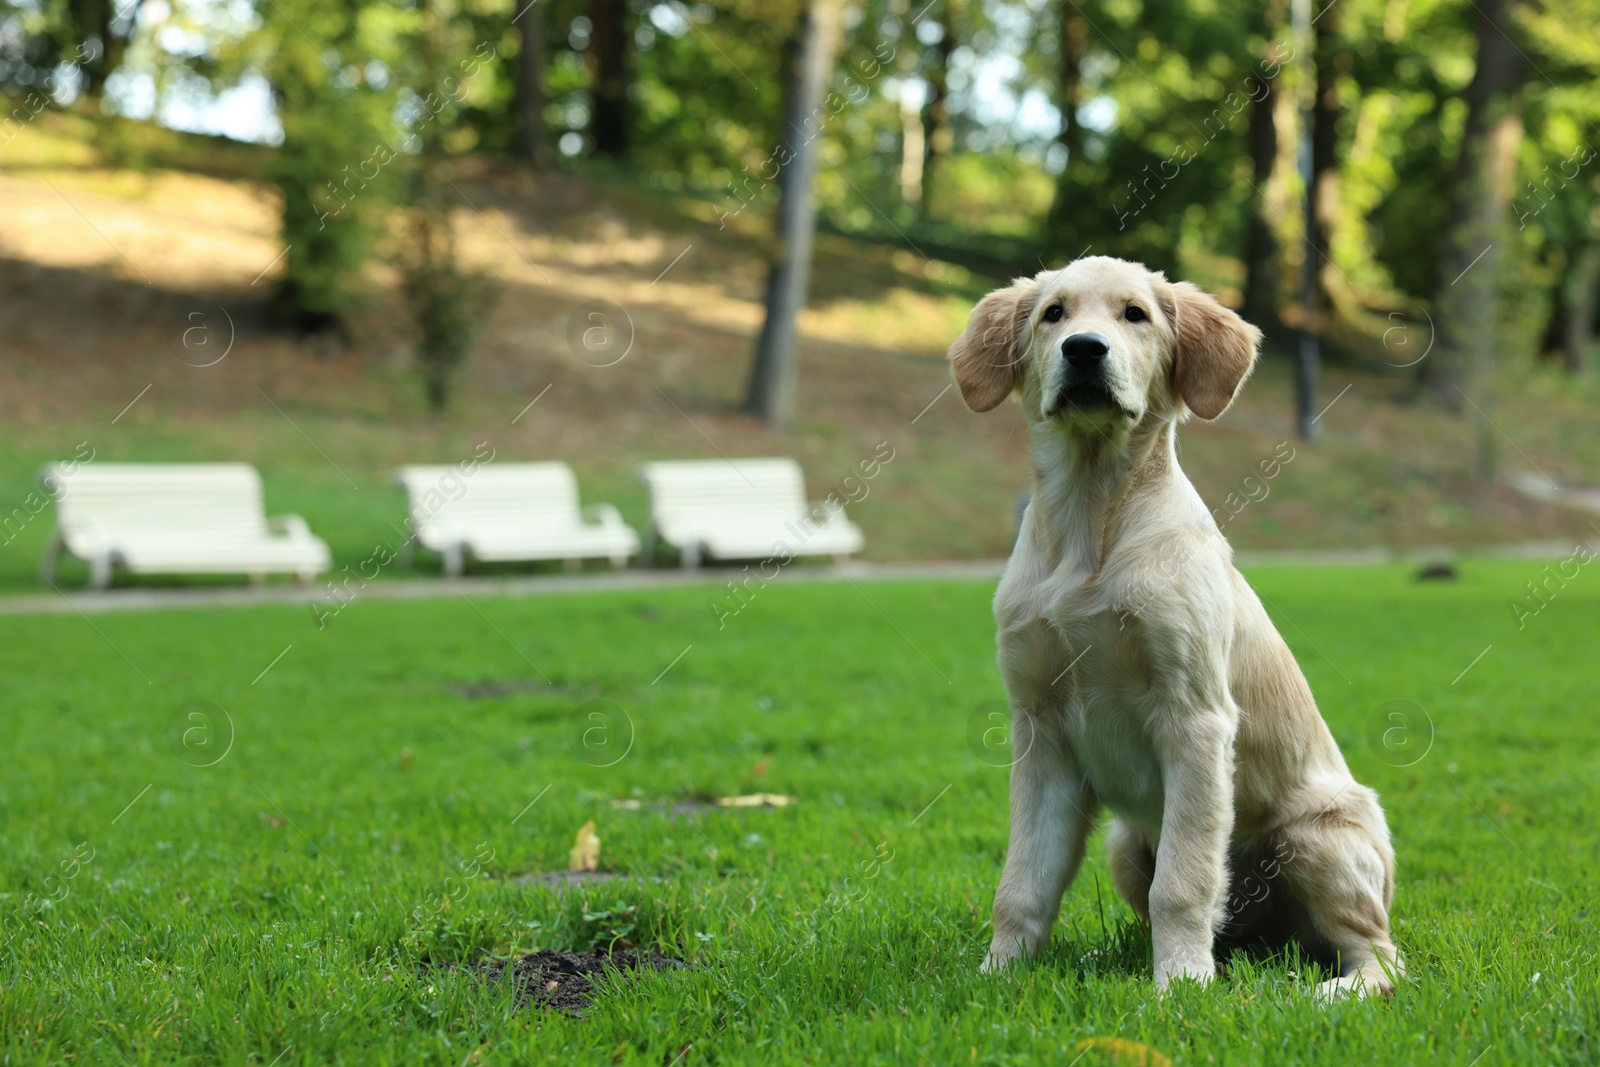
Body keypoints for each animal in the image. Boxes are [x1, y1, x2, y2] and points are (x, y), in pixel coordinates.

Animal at [947, 254, 1401, 998]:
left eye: (1135, 314)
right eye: (1053, 314)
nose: (1084, 350)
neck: (1091, 524)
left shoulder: (1195, 717)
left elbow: (1184, 883)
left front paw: (1181, 986)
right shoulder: (1039, 729)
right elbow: (1022, 882)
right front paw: (999, 974)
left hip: (1317, 835)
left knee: (1382, 954)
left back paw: (1330, 991)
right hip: (1126, 843)